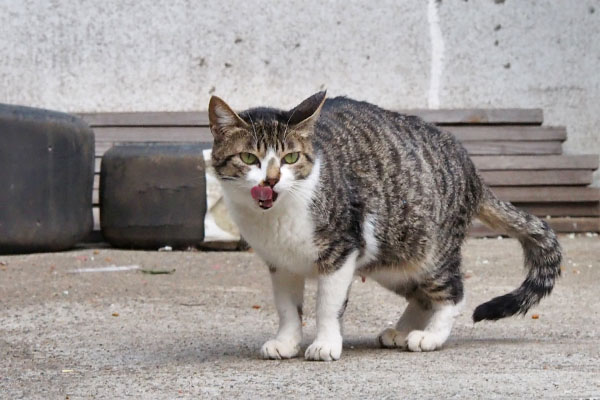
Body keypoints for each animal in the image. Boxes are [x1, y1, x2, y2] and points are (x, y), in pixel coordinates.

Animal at [207, 92, 564, 360]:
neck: (276, 217)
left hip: (430, 253)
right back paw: (401, 331)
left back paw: (430, 336)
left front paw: (324, 344)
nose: (270, 180)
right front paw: (286, 342)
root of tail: (473, 172)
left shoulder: (341, 251)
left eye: (290, 158)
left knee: (454, 292)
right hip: (395, 256)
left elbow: (327, 305)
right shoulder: (280, 263)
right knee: (421, 295)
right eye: (249, 158)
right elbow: (286, 308)